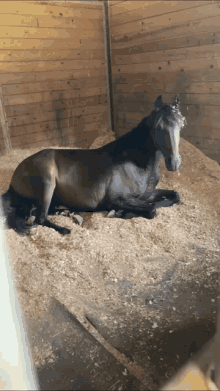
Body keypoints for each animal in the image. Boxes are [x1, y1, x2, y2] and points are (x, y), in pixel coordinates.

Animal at [1, 95, 186, 236]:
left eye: (182, 123)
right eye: (158, 126)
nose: (174, 162)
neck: (137, 164)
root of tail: (17, 174)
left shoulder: (148, 194)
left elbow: (174, 197)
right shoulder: (117, 198)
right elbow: (151, 209)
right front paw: (121, 213)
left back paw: (71, 214)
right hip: (47, 183)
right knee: (40, 217)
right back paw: (65, 229)